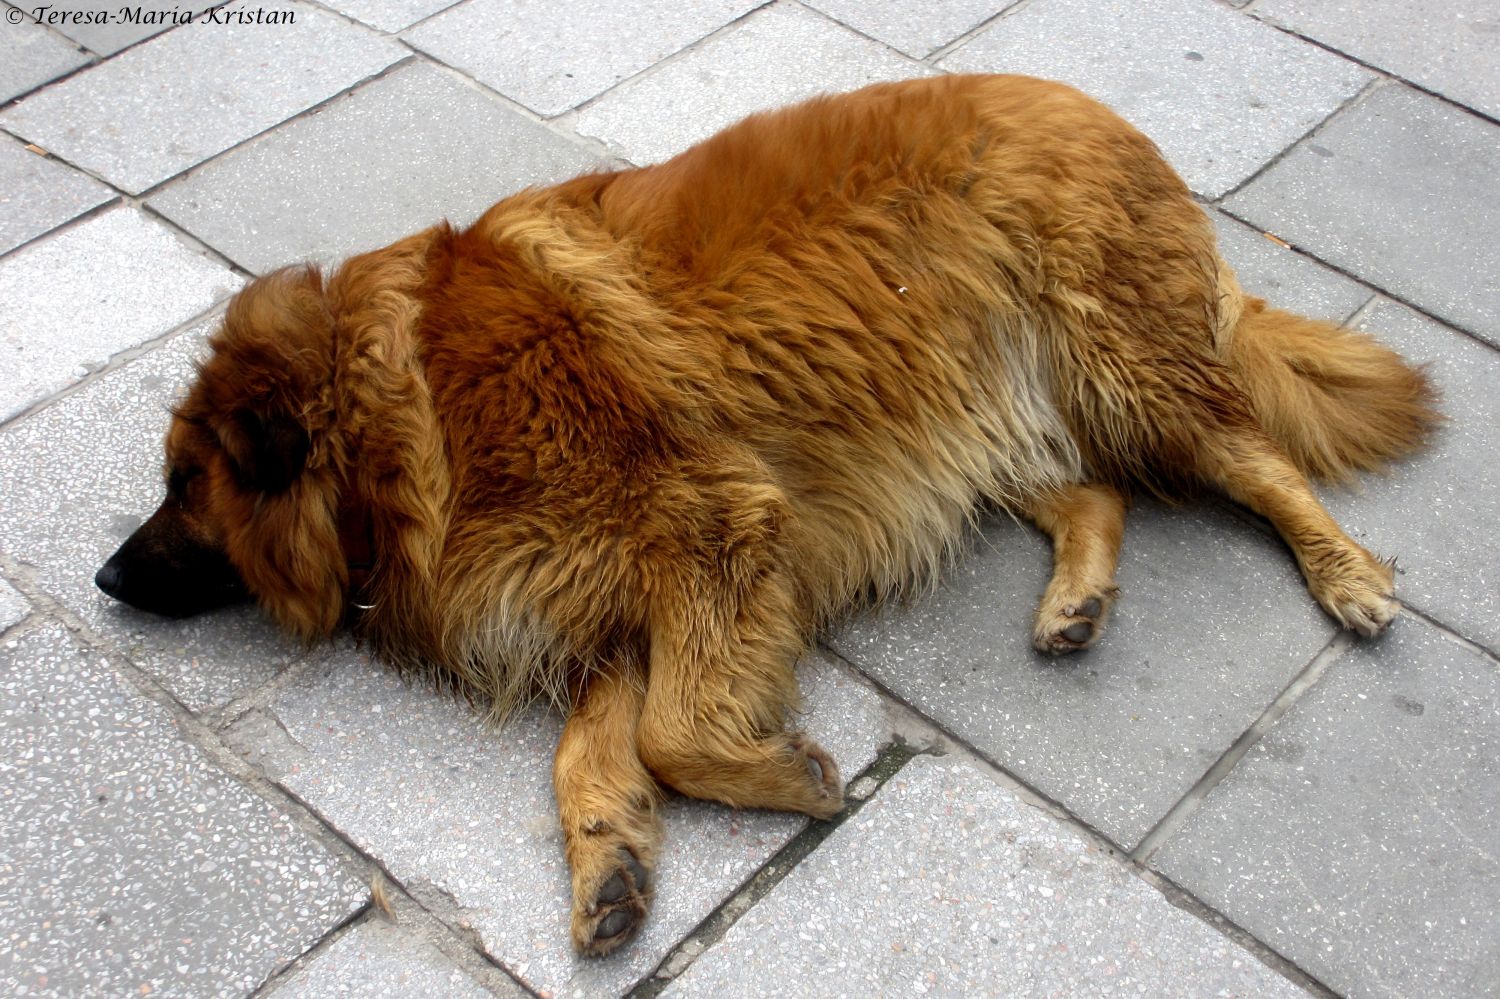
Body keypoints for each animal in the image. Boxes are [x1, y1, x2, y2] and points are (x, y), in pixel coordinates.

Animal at [96, 75, 1440, 948]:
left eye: (180, 489)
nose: (106, 578)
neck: (397, 414)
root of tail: (1100, 109)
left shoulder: (710, 524)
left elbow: (673, 735)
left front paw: (786, 779)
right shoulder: (613, 592)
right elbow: (597, 749)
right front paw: (610, 858)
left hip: (1112, 361)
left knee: (1255, 460)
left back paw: (1346, 572)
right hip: (952, 412)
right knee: (1094, 486)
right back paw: (1077, 597)